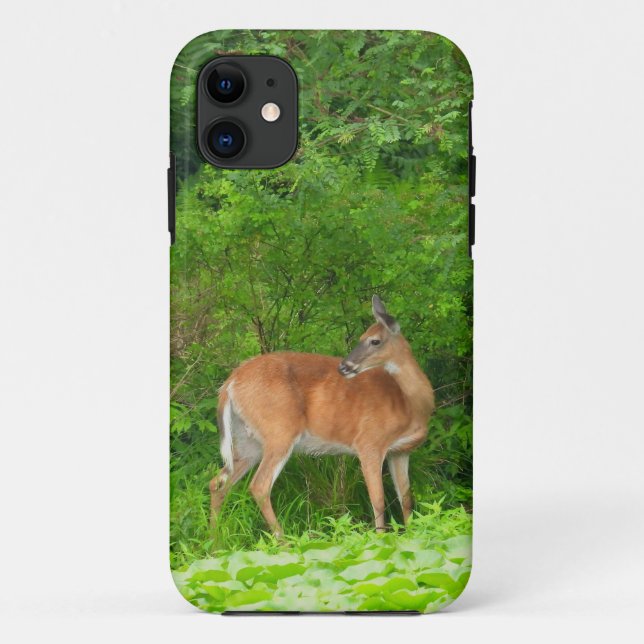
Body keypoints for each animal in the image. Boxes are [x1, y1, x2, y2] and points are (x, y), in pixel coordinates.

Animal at [209, 295, 435, 537]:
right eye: (362, 337)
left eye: (374, 341)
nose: (344, 366)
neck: (411, 405)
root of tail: (229, 384)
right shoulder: (369, 442)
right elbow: (378, 500)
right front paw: (381, 539)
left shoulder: (401, 451)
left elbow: (407, 500)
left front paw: (412, 535)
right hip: (279, 430)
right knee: (259, 486)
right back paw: (283, 540)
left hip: (247, 440)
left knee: (218, 483)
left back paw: (213, 540)